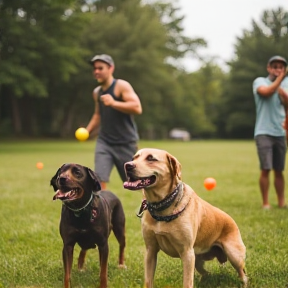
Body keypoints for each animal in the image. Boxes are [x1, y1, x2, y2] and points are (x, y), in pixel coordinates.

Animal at [122, 148, 246, 288]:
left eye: (151, 158)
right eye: (134, 158)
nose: (127, 165)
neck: (162, 208)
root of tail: (232, 221)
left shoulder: (187, 253)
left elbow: (187, 282)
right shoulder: (150, 250)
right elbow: (148, 281)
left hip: (234, 255)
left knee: (243, 274)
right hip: (198, 259)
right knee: (206, 273)